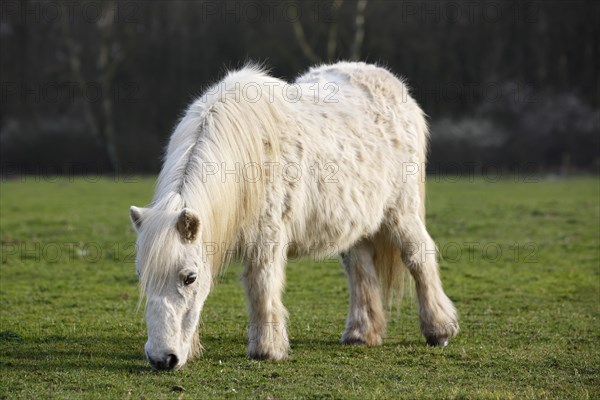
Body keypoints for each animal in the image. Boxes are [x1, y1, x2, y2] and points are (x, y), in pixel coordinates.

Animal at [131, 61, 460, 370]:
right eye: (142, 275)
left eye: (189, 278)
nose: (163, 359)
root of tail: (394, 86)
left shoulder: (267, 238)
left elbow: (261, 286)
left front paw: (267, 349)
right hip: (357, 224)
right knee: (361, 270)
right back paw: (361, 333)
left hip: (400, 212)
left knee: (418, 256)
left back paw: (439, 329)